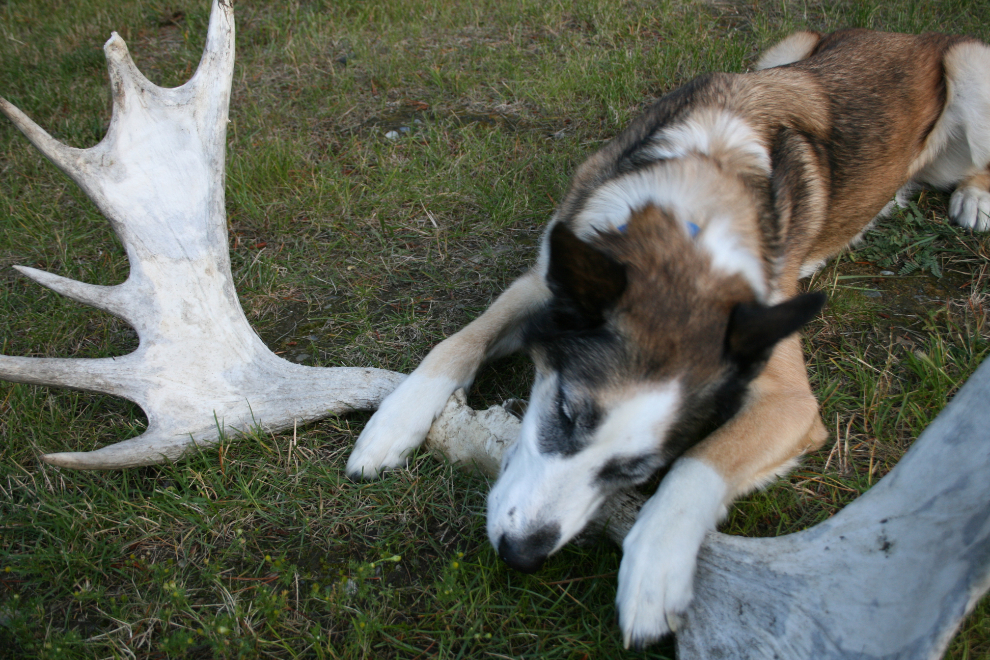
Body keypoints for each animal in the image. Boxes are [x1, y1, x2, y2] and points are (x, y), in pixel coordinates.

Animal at [346, 29, 990, 644]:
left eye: (638, 470)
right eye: (564, 412)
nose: (521, 554)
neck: (694, 211)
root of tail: (912, 37)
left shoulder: (789, 400)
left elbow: (702, 462)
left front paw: (654, 573)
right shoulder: (549, 275)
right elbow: (459, 341)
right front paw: (391, 426)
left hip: (971, 63)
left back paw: (975, 195)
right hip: (786, 50)